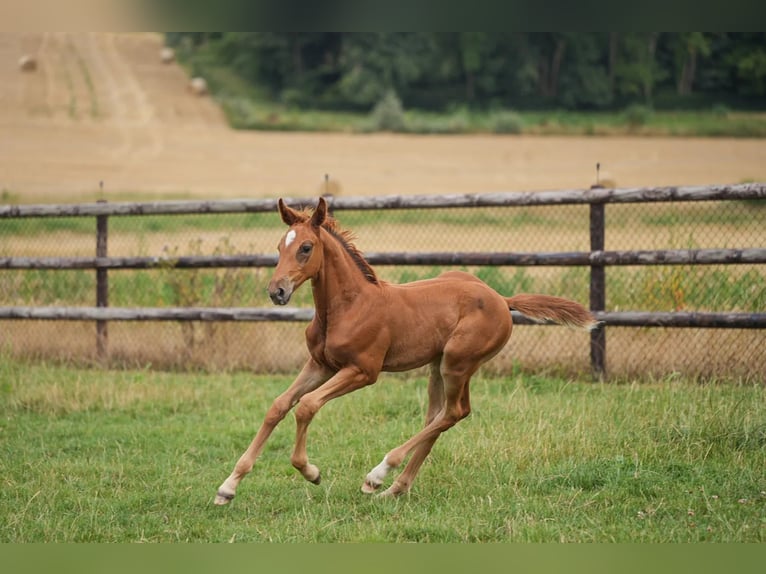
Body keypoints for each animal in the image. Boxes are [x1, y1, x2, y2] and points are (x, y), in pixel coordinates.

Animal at [214, 197, 598, 505]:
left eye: (306, 248)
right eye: (280, 246)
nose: (276, 292)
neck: (349, 306)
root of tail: (502, 300)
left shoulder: (362, 371)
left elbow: (306, 406)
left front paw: (311, 471)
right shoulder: (320, 364)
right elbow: (279, 406)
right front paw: (228, 487)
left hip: (458, 362)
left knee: (453, 412)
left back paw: (377, 476)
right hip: (440, 364)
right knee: (440, 416)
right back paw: (395, 489)